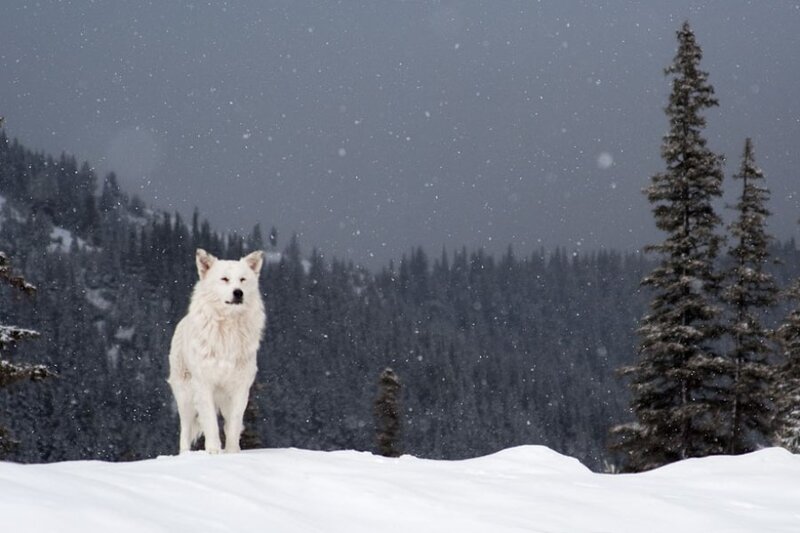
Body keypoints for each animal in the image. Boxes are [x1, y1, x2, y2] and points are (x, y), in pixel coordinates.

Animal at [168, 248, 266, 454]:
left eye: (243, 279)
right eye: (224, 279)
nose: (238, 292)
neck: (228, 329)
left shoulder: (240, 388)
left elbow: (234, 425)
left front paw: (232, 453)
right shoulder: (204, 384)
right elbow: (211, 423)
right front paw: (213, 451)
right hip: (186, 398)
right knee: (185, 431)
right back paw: (185, 455)